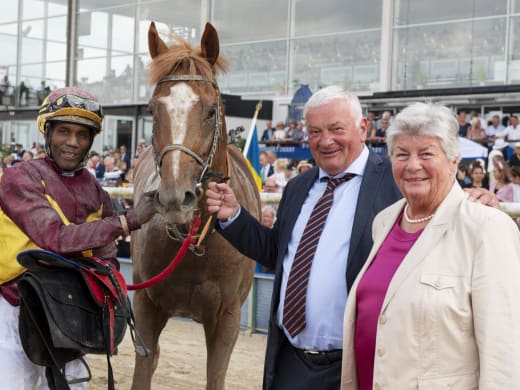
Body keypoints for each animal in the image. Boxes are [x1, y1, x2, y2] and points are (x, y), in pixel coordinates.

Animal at [130, 22, 260, 390]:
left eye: (211, 110)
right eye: (152, 109)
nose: (176, 198)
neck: (195, 242)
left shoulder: (227, 317)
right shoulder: (146, 304)